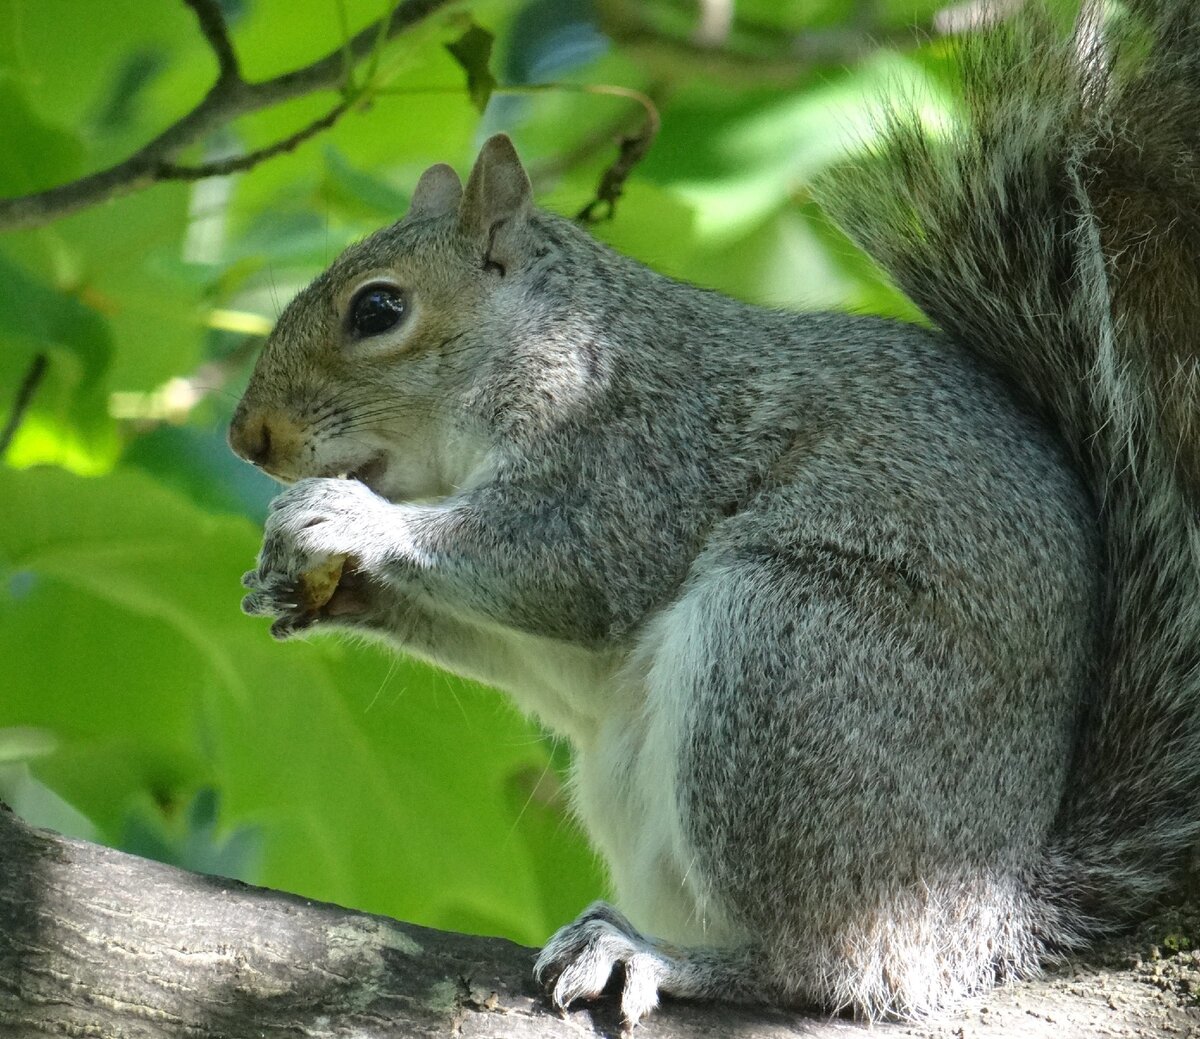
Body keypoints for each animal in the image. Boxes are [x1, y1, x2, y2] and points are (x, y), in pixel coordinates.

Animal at [226, 0, 1200, 1022]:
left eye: (378, 309)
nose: (246, 437)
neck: (551, 344)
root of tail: (987, 914)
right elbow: (540, 662)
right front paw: (298, 589)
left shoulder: (638, 451)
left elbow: (565, 565)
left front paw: (347, 521)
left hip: (790, 663)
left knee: (830, 964)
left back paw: (668, 957)